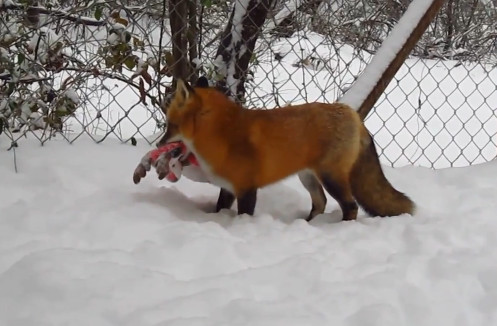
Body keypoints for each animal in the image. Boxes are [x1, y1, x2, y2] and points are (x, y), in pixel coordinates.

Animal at [157, 77, 412, 220]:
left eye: (171, 125)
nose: (158, 144)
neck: (224, 135)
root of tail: (353, 115)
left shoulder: (247, 189)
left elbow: (243, 215)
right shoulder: (229, 188)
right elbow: (220, 209)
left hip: (331, 177)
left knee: (350, 206)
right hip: (308, 177)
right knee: (320, 203)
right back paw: (307, 224)